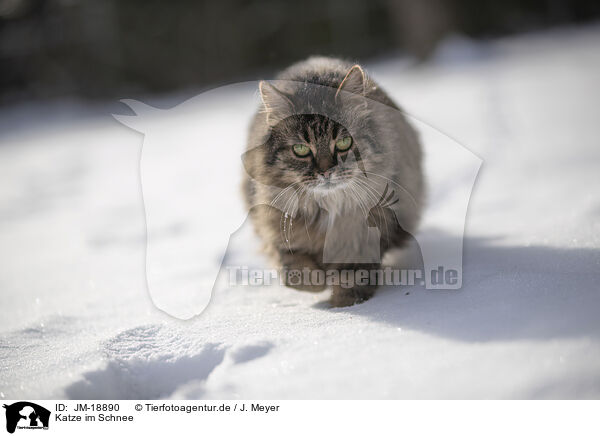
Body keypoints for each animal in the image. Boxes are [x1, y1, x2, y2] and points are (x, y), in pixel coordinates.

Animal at [241, 56, 424, 306]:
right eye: (300, 149)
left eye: (344, 143)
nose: (326, 171)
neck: (328, 207)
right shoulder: (275, 226)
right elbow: (293, 269)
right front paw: (318, 283)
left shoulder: (370, 233)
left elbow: (354, 274)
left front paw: (344, 303)